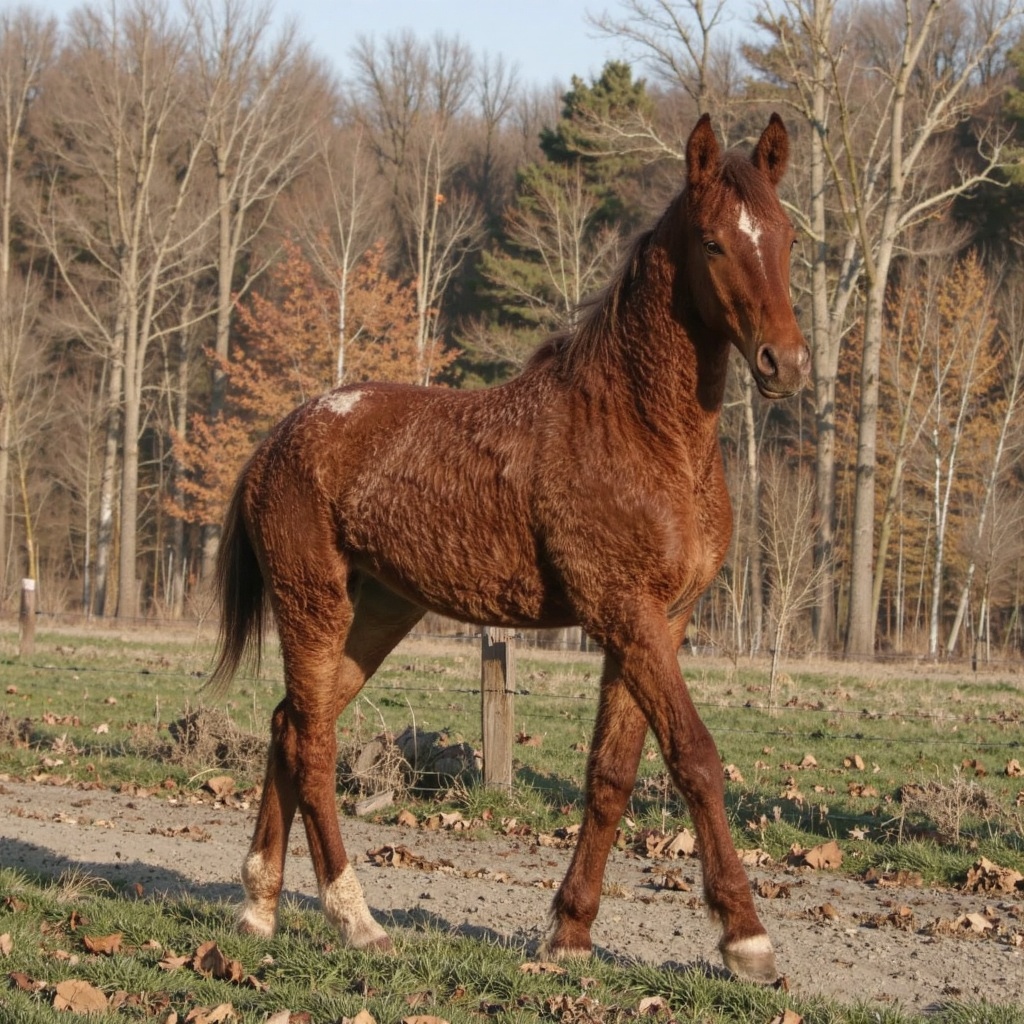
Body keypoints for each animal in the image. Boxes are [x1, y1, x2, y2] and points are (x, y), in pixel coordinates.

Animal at [210, 113, 809, 984]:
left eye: (788, 237)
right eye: (714, 242)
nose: (784, 364)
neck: (638, 428)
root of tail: (275, 440)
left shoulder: (655, 623)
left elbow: (610, 773)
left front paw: (570, 933)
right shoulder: (627, 615)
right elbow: (695, 757)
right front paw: (746, 940)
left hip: (374, 618)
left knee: (290, 726)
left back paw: (259, 908)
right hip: (312, 607)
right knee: (314, 745)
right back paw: (355, 918)